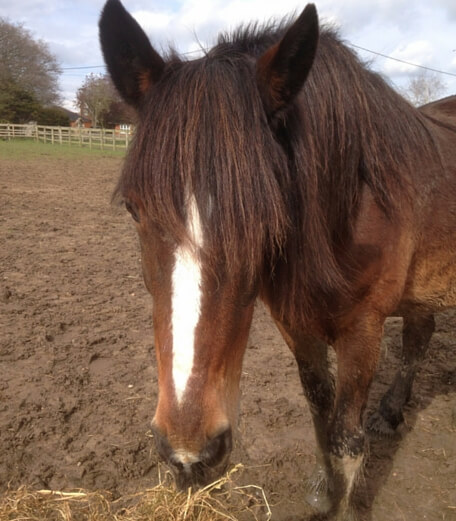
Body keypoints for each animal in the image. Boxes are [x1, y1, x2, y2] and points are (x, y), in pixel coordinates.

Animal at [99, 2, 456, 516]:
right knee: (419, 335)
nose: (189, 455)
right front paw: (325, 492)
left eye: (270, 212)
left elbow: (347, 439)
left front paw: (343, 504)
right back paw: (391, 411)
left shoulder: (363, 329)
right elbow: (322, 416)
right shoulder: (295, 323)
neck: (352, 205)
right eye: (133, 208)